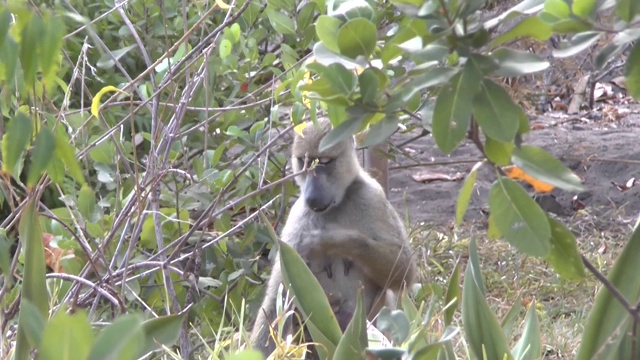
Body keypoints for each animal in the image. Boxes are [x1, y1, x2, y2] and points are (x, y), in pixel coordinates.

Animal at [250, 119, 416, 358]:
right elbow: (276, 297)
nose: (311, 195)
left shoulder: (371, 197)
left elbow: (403, 271)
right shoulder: (298, 218)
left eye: (325, 162)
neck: (338, 204)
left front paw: (327, 242)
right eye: (303, 162)